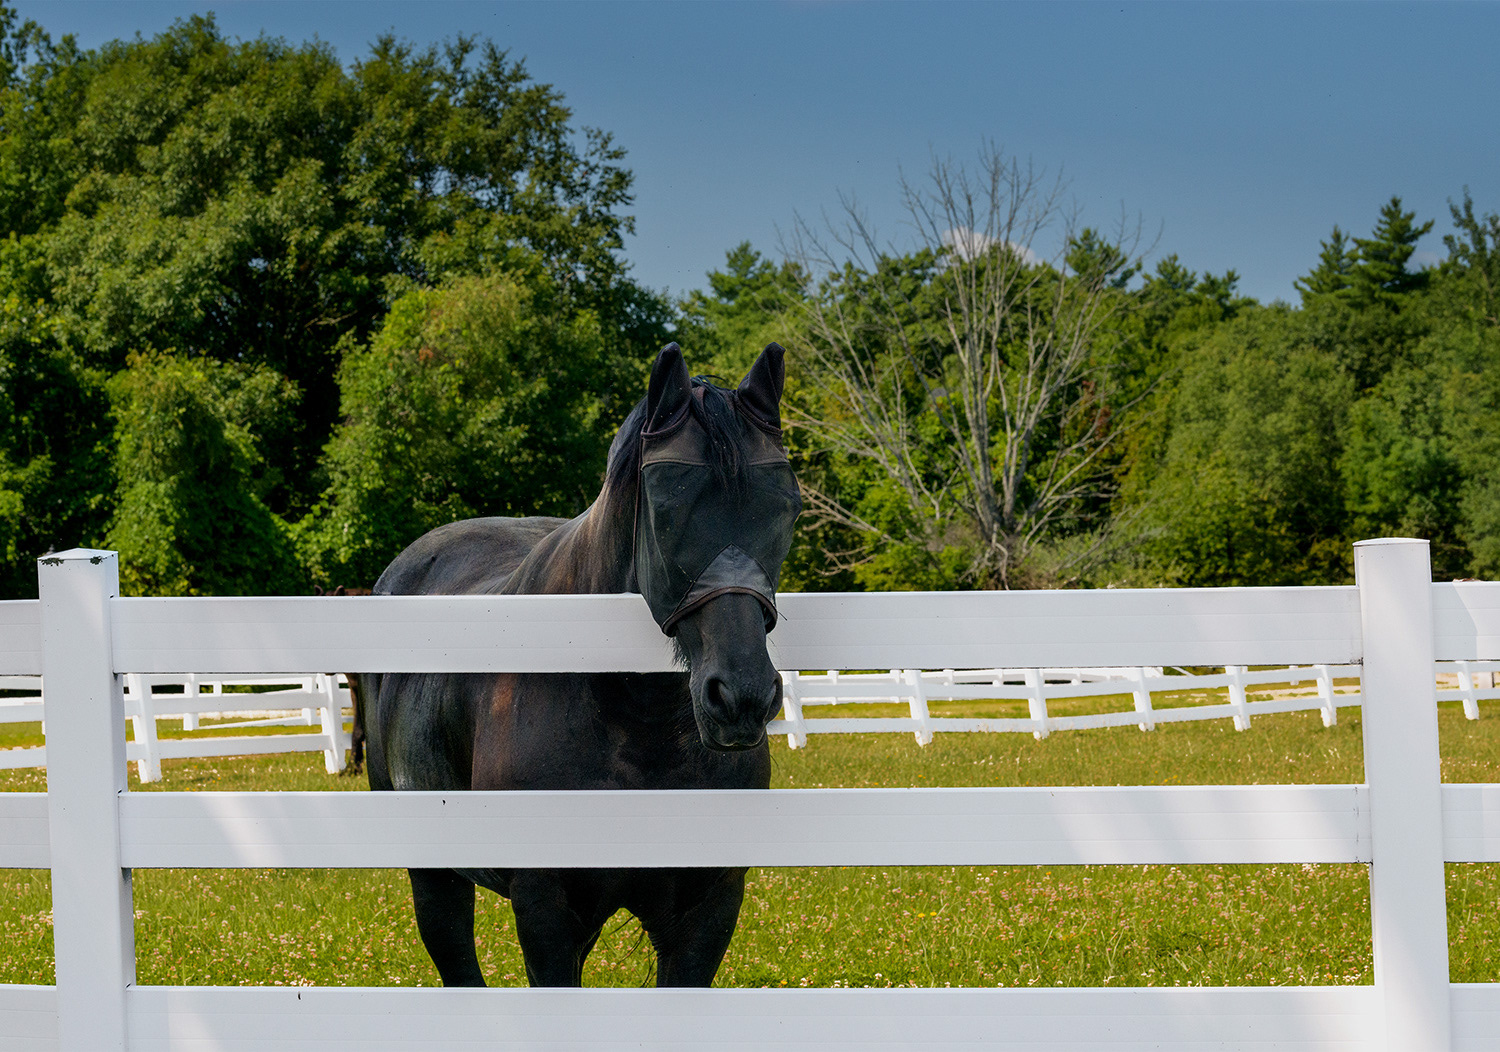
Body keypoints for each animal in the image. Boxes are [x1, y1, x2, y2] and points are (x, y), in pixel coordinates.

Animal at [353, 342, 801, 987]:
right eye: (664, 510)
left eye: (787, 508)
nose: (741, 698)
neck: (632, 721)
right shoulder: (546, 909)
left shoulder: (708, 910)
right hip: (435, 876)